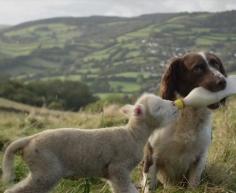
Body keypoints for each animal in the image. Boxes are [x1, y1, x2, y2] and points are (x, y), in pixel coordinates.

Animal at [1, 92, 179, 192]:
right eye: (157, 108)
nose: (174, 104)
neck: (133, 135)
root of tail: (28, 140)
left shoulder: (110, 174)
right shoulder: (118, 168)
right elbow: (126, 189)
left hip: (41, 170)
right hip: (46, 170)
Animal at [141, 51, 228, 191]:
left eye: (217, 65)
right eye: (197, 68)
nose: (223, 81)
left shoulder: (200, 157)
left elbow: (193, 184)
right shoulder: (151, 157)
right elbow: (148, 186)